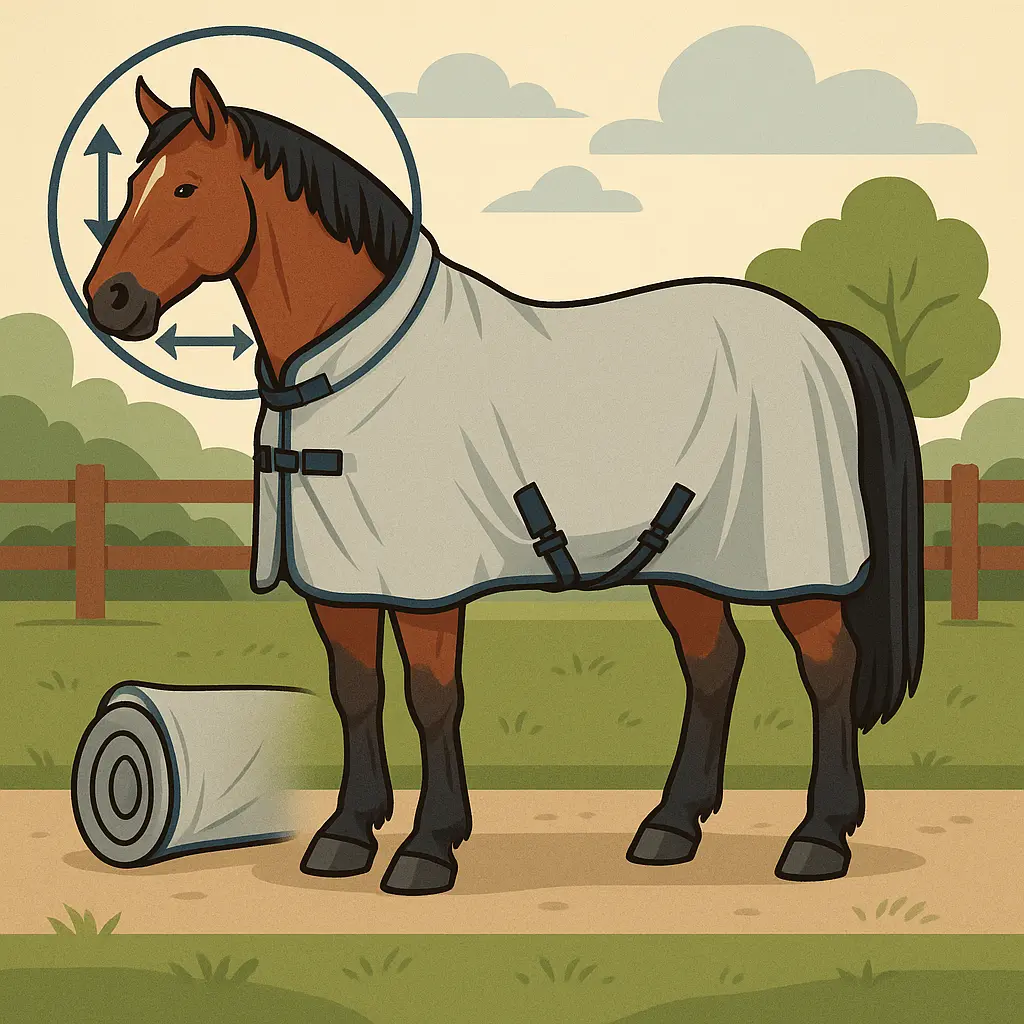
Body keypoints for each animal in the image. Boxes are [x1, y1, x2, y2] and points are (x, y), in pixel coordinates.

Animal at [84, 68, 924, 896]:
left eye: (186, 186)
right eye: (129, 183)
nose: (109, 300)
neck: (351, 365)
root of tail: (821, 334)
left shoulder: (426, 589)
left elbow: (432, 699)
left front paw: (428, 849)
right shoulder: (341, 583)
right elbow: (358, 692)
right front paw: (346, 834)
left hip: (797, 569)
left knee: (828, 671)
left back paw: (819, 838)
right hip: (684, 562)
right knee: (713, 666)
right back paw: (670, 828)